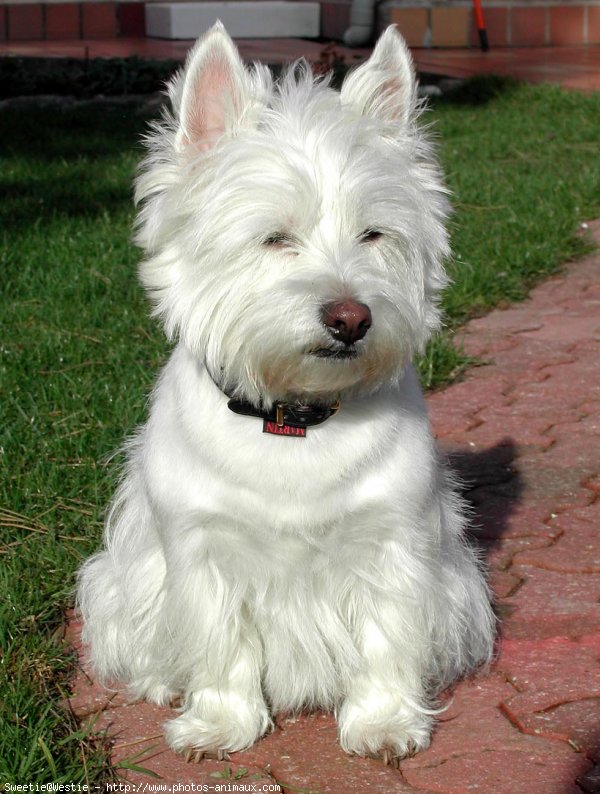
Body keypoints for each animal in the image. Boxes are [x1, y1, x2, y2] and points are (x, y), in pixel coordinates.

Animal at [77, 24, 494, 764]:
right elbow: (219, 645)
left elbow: (387, 637)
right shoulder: (202, 548)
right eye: (275, 237)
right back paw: (160, 683)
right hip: (113, 581)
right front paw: (218, 724)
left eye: (373, 233)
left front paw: (384, 723)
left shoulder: (393, 541)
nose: (351, 318)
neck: (293, 416)